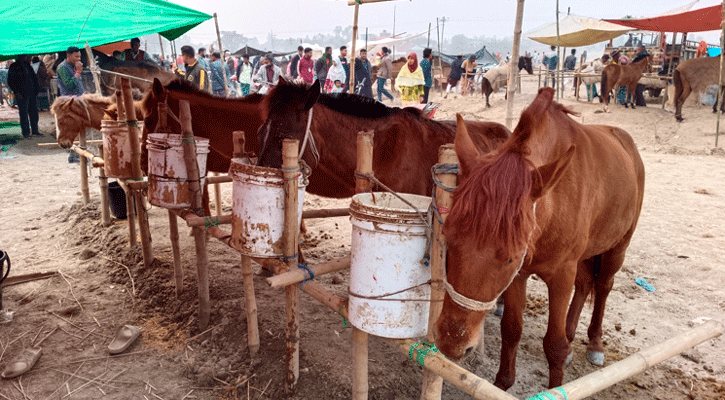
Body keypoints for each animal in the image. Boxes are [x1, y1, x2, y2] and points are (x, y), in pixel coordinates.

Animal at [436, 88, 644, 390]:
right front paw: (503, 382)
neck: (551, 205)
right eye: (449, 238)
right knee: (585, 285)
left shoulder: (560, 275)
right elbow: (511, 330)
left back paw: (594, 343)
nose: (452, 343)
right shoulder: (520, 276)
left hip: (617, 247)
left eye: (509, 257)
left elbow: (554, 346)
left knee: (604, 286)